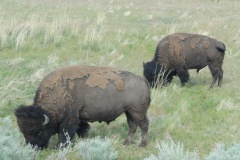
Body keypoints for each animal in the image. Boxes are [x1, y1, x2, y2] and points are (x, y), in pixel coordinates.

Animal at [14, 65, 150, 149]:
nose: (34, 148)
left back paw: (142, 144)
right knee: (132, 125)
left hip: (138, 111)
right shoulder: (79, 119)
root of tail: (142, 79)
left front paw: (59, 147)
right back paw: (127, 143)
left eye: (39, 131)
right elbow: (82, 130)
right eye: (23, 132)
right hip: (129, 111)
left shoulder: (70, 119)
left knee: (143, 125)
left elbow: (64, 134)